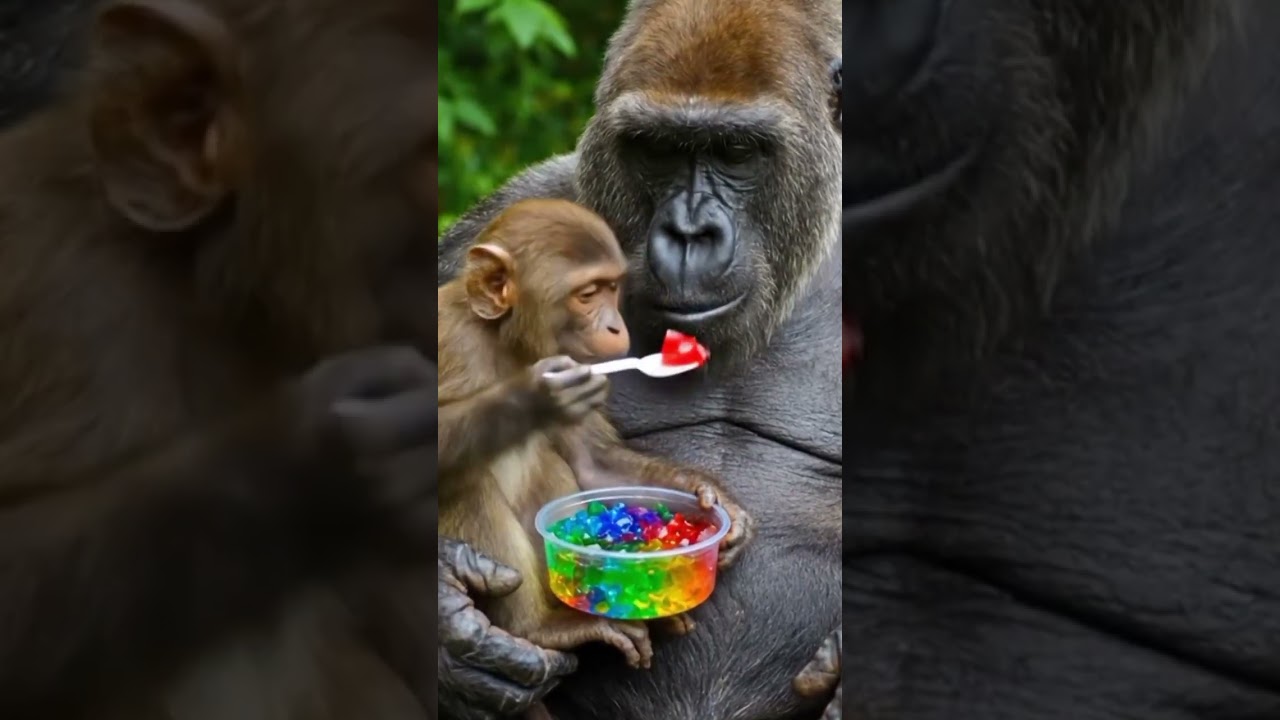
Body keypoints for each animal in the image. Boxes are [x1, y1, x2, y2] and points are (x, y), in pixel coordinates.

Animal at [437, 199, 754, 693]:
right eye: (587, 294)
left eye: (612, 287)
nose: (615, 325)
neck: (504, 343)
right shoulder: (452, 341)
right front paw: (536, 395)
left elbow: (592, 464)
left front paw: (712, 498)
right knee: (466, 479)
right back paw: (540, 627)